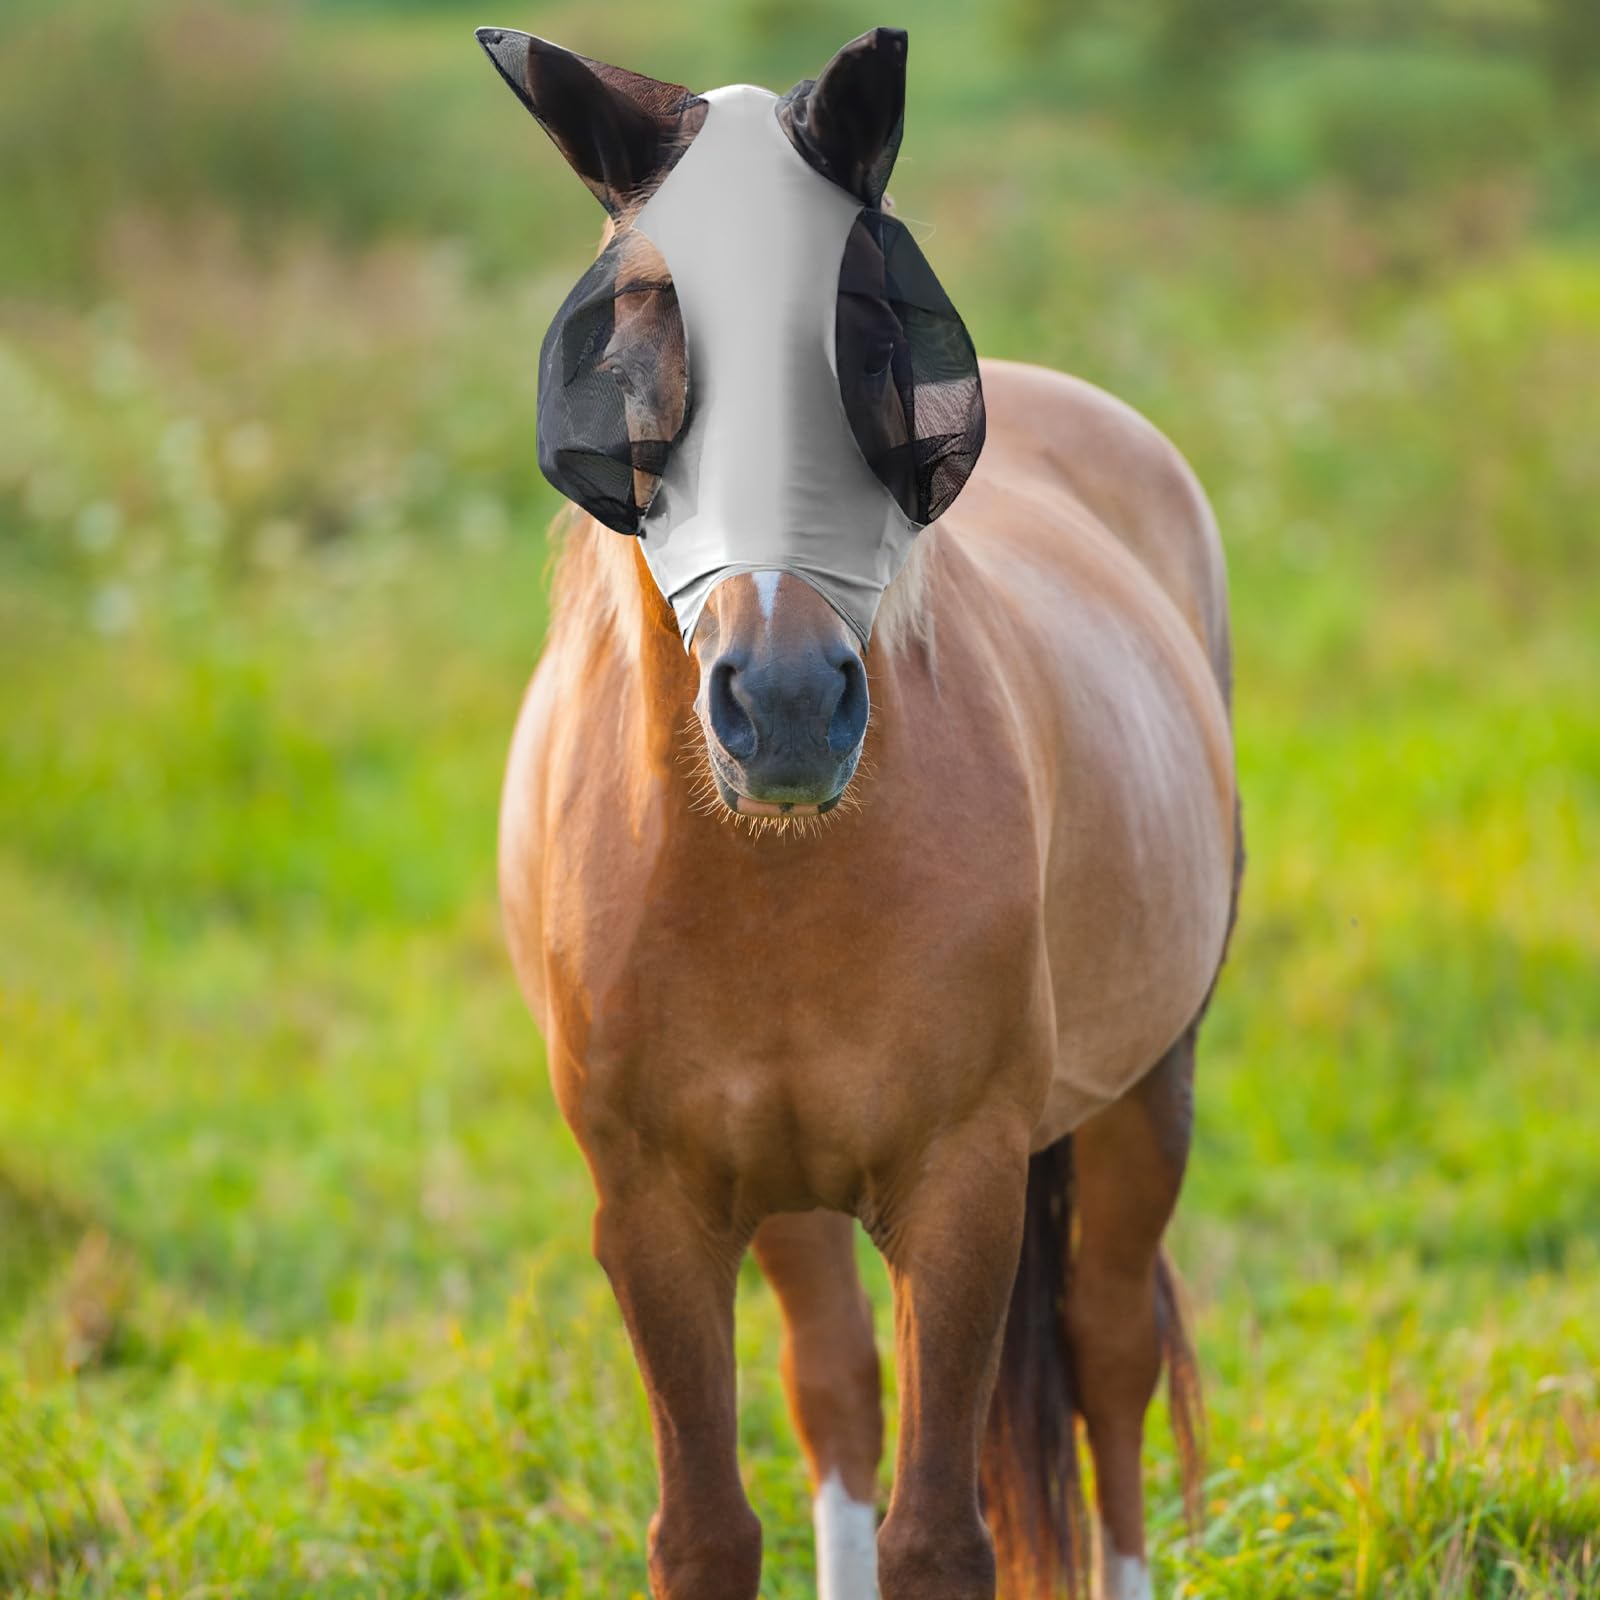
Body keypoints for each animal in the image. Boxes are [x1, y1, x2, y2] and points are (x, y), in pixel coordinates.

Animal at [484, 25, 1240, 1600]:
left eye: (867, 333)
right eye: (637, 328)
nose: (782, 702)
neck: (770, 882)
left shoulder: (962, 1194)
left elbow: (940, 1534)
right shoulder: (656, 1215)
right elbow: (710, 1527)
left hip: (1148, 1091)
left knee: (1111, 1355)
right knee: (833, 1386)